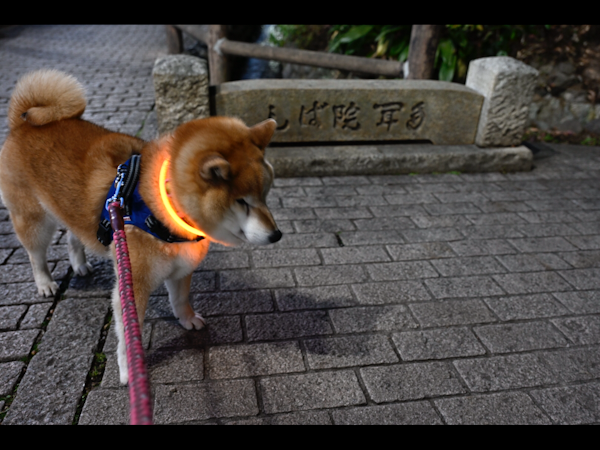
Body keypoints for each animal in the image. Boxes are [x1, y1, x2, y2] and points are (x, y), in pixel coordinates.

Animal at [0, 69, 282, 384]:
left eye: (266, 195)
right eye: (242, 202)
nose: (276, 235)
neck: (164, 207)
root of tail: (21, 124)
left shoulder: (182, 266)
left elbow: (180, 299)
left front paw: (187, 319)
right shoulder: (132, 284)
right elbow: (127, 336)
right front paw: (129, 369)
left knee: (75, 237)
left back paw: (80, 264)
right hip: (34, 221)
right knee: (36, 254)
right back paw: (45, 283)